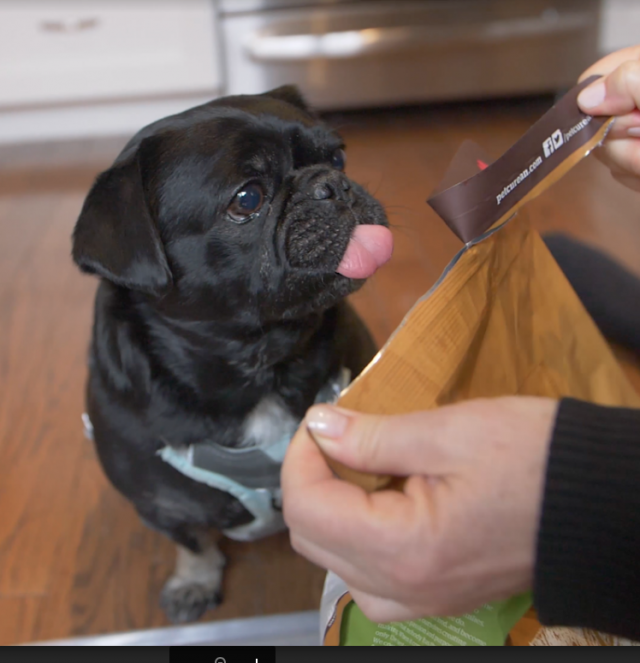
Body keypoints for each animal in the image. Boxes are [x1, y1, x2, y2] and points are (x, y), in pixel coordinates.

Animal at [70, 87, 390, 624]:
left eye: (337, 157)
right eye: (248, 199)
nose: (333, 185)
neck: (259, 363)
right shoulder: (161, 504)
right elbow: (194, 543)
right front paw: (193, 582)